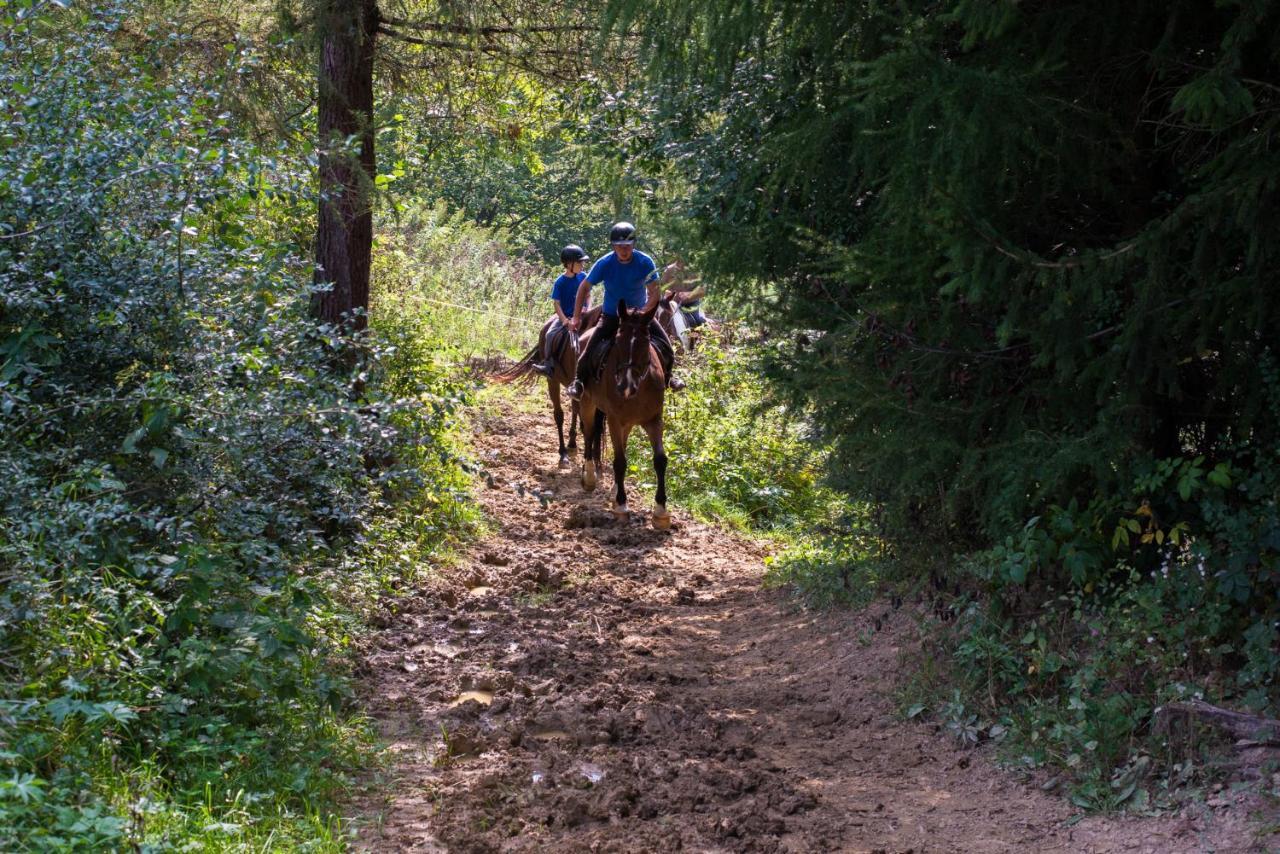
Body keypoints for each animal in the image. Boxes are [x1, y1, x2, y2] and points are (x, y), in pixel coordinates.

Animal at [494, 307, 604, 468]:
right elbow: (566, 417)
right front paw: (568, 455)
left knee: (575, 410)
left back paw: (572, 443)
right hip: (554, 380)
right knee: (561, 414)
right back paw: (565, 450)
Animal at [576, 299, 670, 527]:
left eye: (645, 343)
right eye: (618, 341)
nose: (626, 387)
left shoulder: (654, 420)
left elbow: (660, 460)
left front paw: (661, 510)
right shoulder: (614, 420)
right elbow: (619, 462)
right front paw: (621, 505)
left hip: (626, 423)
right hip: (587, 403)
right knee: (589, 434)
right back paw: (590, 477)